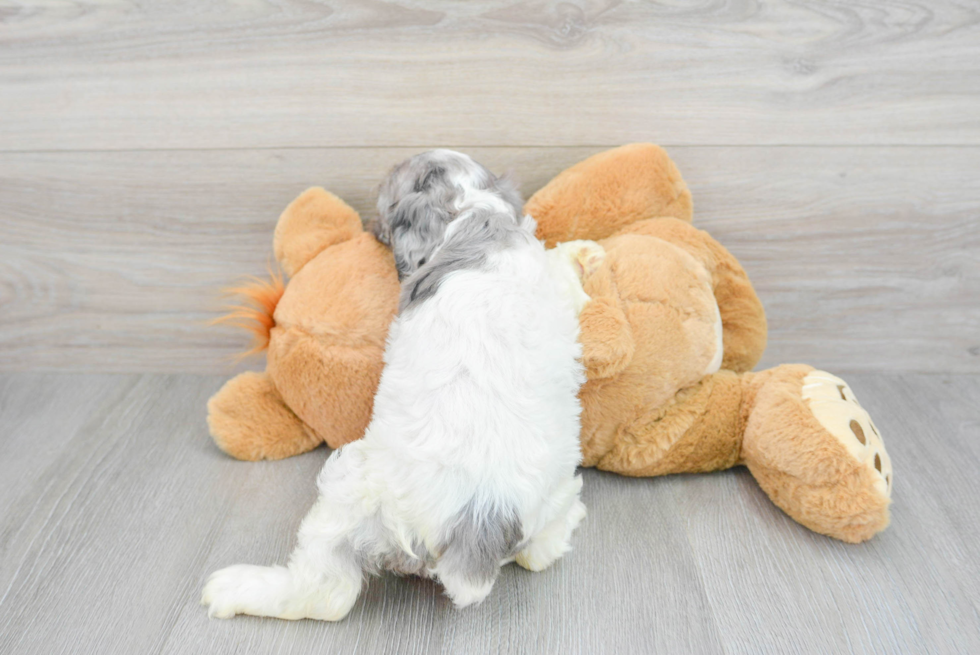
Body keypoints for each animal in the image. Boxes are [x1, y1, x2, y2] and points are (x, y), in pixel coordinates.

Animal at [201, 151, 588, 624]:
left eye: (385, 203)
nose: (372, 227)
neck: (475, 209)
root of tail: (477, 522)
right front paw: (581, 254)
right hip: (551, 491)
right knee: (541, 550)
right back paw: (568, 521)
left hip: (351, 489)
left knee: (325, 593)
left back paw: (235, 587)